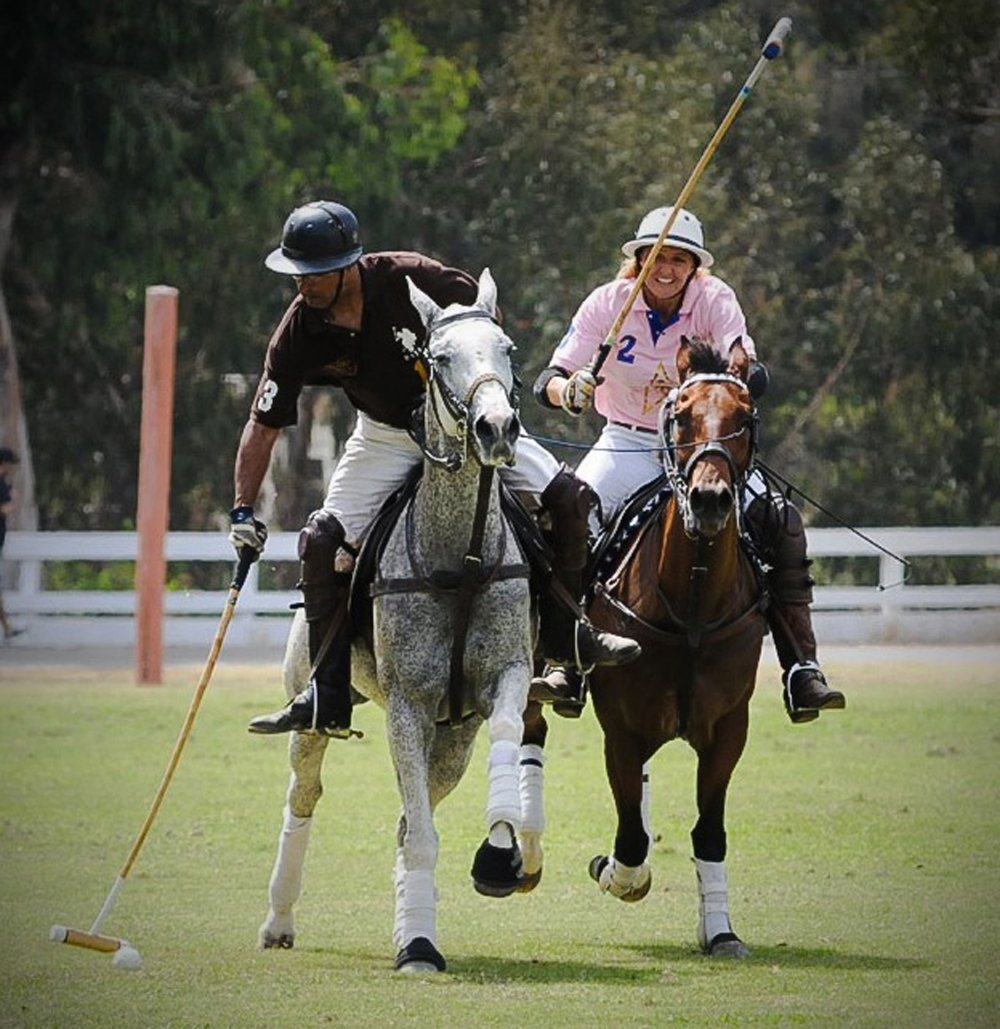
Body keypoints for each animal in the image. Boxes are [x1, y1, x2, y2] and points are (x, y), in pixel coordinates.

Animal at [256, 268, 538, 973]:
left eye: (508, 350)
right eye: (439, 358)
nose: (497, 428)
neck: (461, 556)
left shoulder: (506, 676)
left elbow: (501, 739)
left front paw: (499, 853)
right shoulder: (408, 704)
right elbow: (420, 837)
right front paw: (418, 947)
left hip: (452, 739)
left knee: (413, 817)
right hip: (317, 706)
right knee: (306, 793)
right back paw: (278, 920)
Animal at [585, 335, 767, 958]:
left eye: (745, 417)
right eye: (682, 416)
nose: (710, 501)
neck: (691, 605)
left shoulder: (730, 728)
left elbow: (709, 833)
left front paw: (722, 932)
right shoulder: (620, 729)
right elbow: (631, 840)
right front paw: (615, 874)